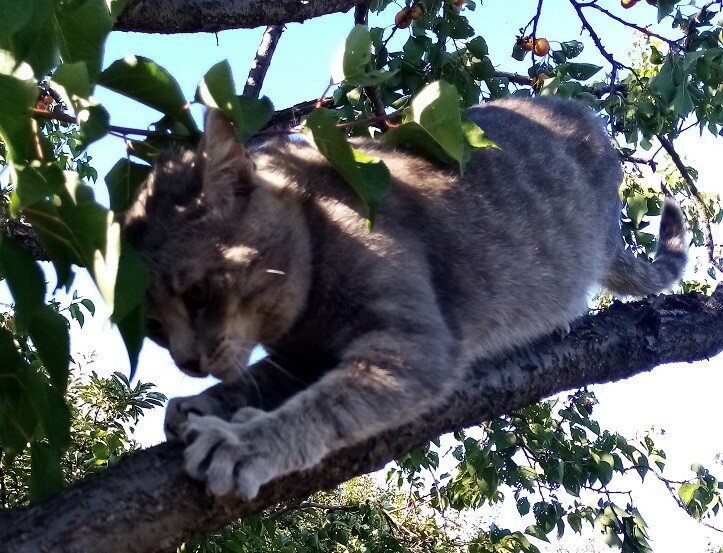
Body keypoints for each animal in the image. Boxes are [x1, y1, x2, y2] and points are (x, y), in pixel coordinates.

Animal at [121, 97, 688, 498]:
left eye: (198, 294)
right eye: (154, 329)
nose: (188, 363)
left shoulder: (414, 345)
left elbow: (324, 406)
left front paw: (244, 443)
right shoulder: (297, 361)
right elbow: (255, 380)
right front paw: (199, 404)